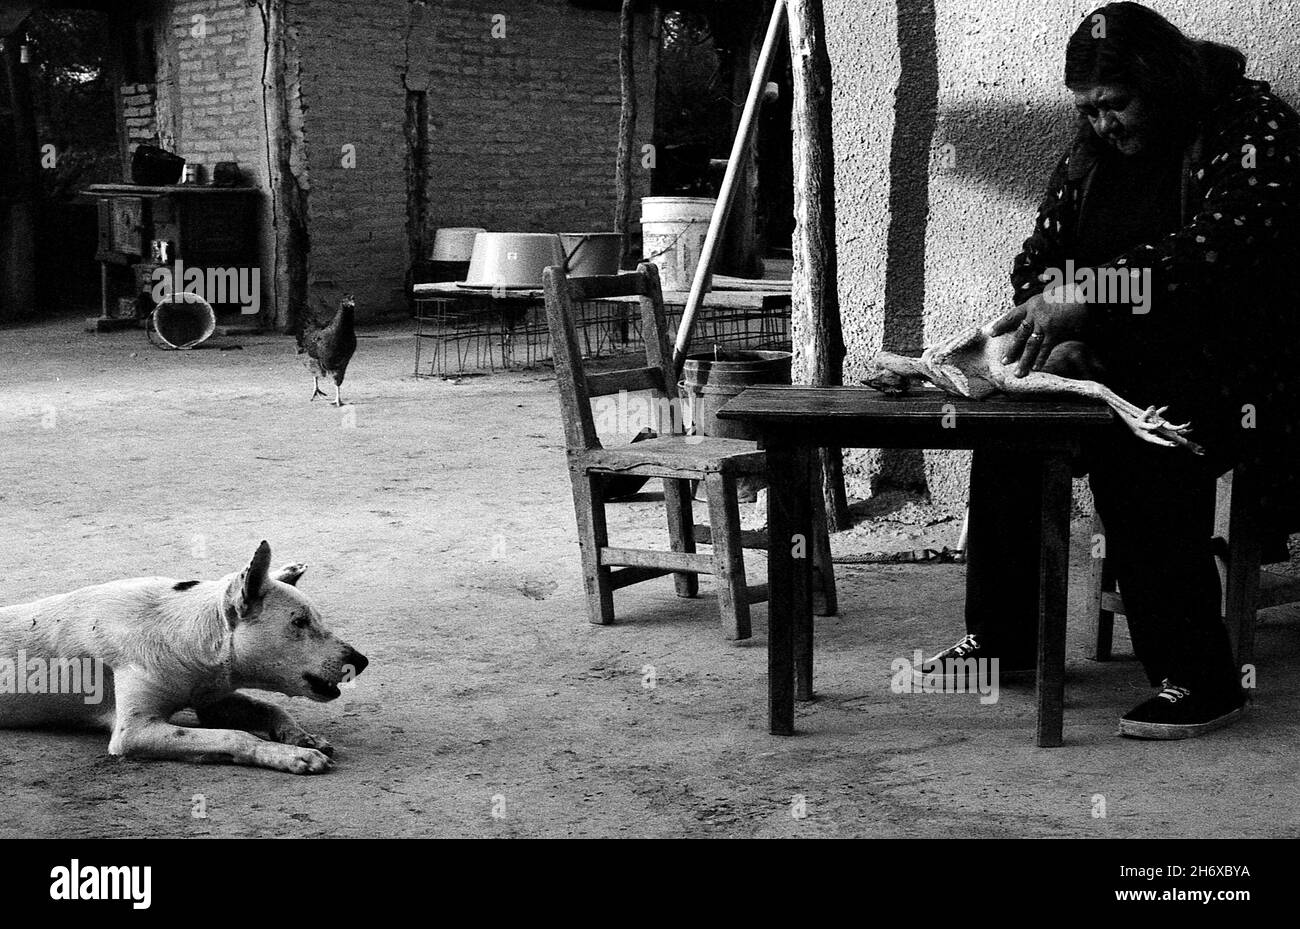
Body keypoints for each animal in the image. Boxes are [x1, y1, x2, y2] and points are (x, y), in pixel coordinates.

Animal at [0, 540, 369, 774]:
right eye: (299, 622)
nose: (362, 661)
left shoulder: (211, 699)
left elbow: (268, 707)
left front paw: (302, 738)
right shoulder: (134, 731)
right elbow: (234, 735)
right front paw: (295, 756)